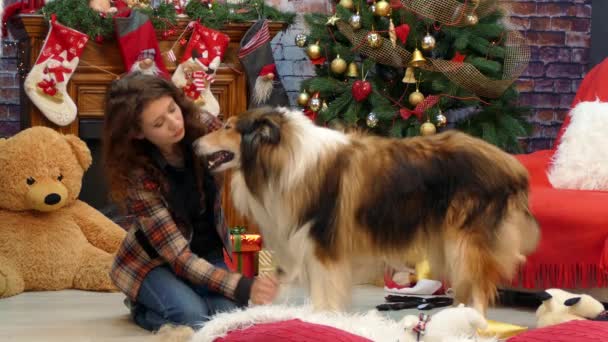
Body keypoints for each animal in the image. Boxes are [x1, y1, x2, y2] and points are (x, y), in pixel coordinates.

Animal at [192, 105, 540, 314]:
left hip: (465, 242)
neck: (282, 158)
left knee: (478, 289)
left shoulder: (322, 248)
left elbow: (324, 296)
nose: (194, 144)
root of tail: (512, 166)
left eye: (228, 127)